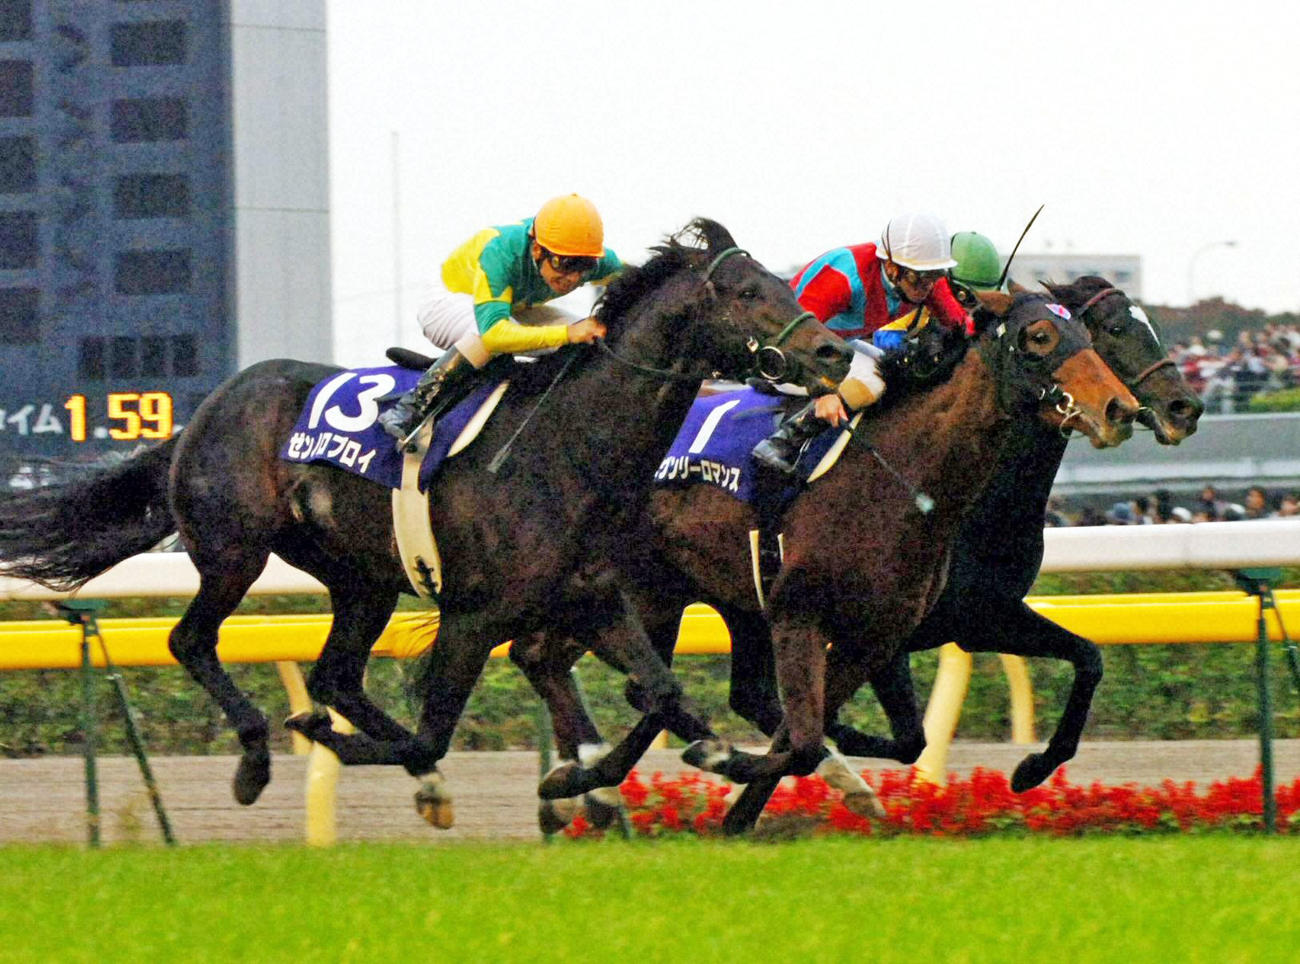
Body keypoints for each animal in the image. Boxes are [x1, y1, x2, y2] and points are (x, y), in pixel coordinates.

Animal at [0, 219, 852, 826]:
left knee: (335, 674)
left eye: (780, 283)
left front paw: (643, 771)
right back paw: (256, 758)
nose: (835, 353)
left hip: (361, 578)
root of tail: (203, 410)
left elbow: (665, 692)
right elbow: (432, 729)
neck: (562, 446)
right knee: (191, 641)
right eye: (745, 294)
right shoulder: (475, 615)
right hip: (235, 552)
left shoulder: (595, 598)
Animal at [513, 286, 1145, 826]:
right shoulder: (805, 617)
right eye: (1040, 336)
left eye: (1087, 336)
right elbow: (807, 738)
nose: (1122, 408)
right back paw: (580, 785)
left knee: (637, 684)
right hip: (630, 592)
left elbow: (1084, 660)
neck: (902, 480)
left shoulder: (888, 632)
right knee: (553, 657)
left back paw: (585, 782)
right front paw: (732, 765)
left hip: (691, 599)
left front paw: (1031, 767)